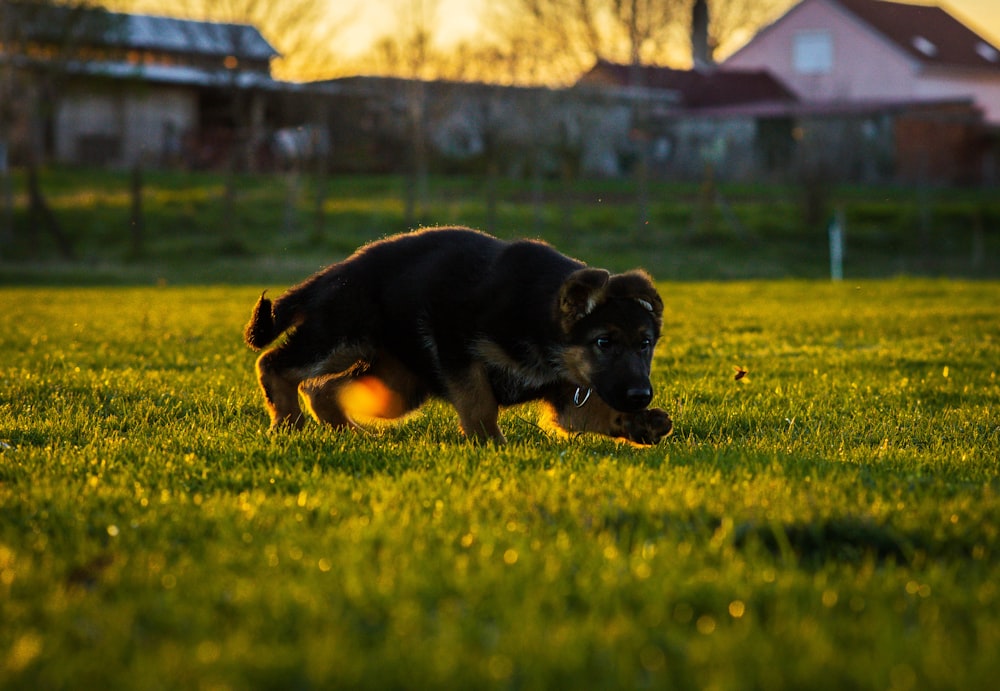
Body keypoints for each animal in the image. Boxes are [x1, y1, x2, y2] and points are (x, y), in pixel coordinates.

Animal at [246, 224, 676, 446]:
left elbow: (597, 411)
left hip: (398, 386)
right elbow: (479, 401)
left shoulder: (567, 394)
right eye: (604, 342)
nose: (641, 396)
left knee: (320, 388)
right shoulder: (457, 347)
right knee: (275, 363)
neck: (541, 324)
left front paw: (639, 424)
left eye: (645, 344)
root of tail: (335, 271)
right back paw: (287, 422)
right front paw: (491, 444)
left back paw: (350, 432)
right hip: (341, 336)